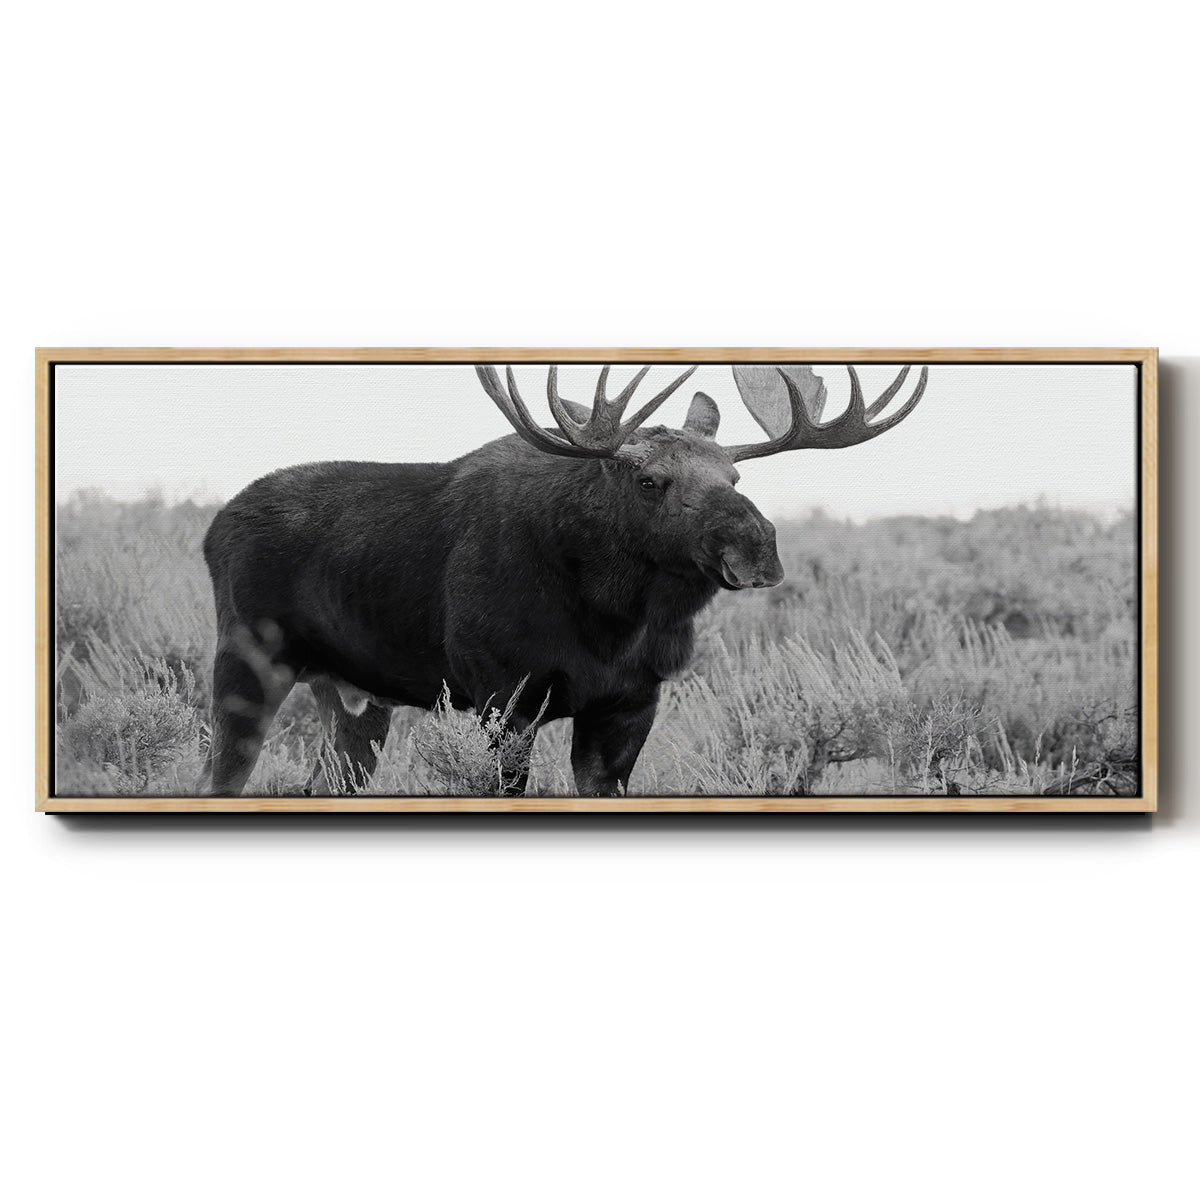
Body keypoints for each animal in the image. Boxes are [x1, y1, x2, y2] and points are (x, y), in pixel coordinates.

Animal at [200, 362, 927, 797]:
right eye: (650, 480)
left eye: (735, 474)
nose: (756, 547)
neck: (611, 619)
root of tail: (213, 528)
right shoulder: (504, 694)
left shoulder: (631, 702)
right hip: (245, 663)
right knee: (221, 776)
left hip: (352, 695)